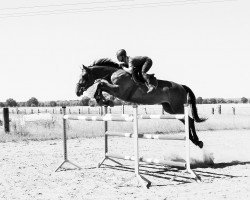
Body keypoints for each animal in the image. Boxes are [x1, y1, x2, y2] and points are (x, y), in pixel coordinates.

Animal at [75, 58, 206, 148]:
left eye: (83, 76)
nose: (77, 91)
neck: (114, 74)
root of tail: (182, 86)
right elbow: (101, 85)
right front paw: (103, 100)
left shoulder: (119, 91)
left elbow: (101, 84)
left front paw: (104, 100)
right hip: (170, 109)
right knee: (186, 121)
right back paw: (195, 141)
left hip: (178, 107)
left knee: (190, 120)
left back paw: (198, 141)